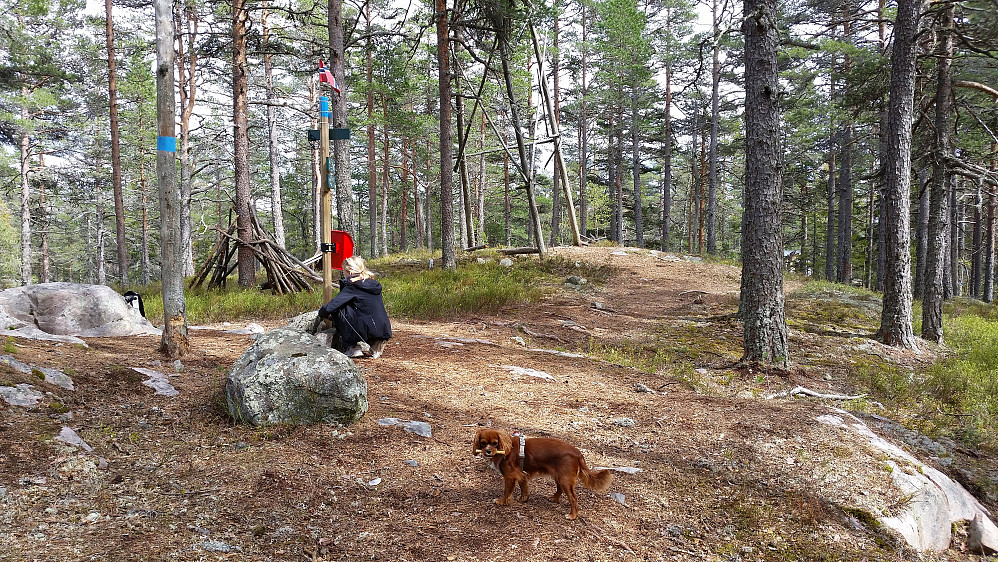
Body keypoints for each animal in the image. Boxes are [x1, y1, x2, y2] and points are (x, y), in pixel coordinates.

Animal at [474, 426, 612, 520]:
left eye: (495, 443)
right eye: (483, 443)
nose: (488, 451)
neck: (506, 448)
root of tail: (578, 453)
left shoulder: (510, 476)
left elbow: (506, 491)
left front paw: (501, 501)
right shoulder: (521, 474)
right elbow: (524, 488)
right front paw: (523, 499)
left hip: (565, 479)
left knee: (573, 498)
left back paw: (572, 515)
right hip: (559, 476)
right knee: (560, 489)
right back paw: (554, 499)